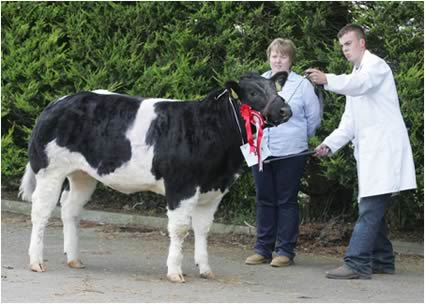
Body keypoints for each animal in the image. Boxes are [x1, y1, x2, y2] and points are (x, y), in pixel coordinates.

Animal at [20, 71, 292, 282]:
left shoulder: (214, 190)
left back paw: (74, 259)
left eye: (275, 88)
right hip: (50, 170)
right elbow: (180, 229)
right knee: (41, 211)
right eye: (253, 93)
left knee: (70, 209)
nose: (285, 110)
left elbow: (203, 229)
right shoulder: (181, 186)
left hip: (82, 174)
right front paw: (175, 272)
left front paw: (205, 269)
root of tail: (57, 103)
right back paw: (36, 261)